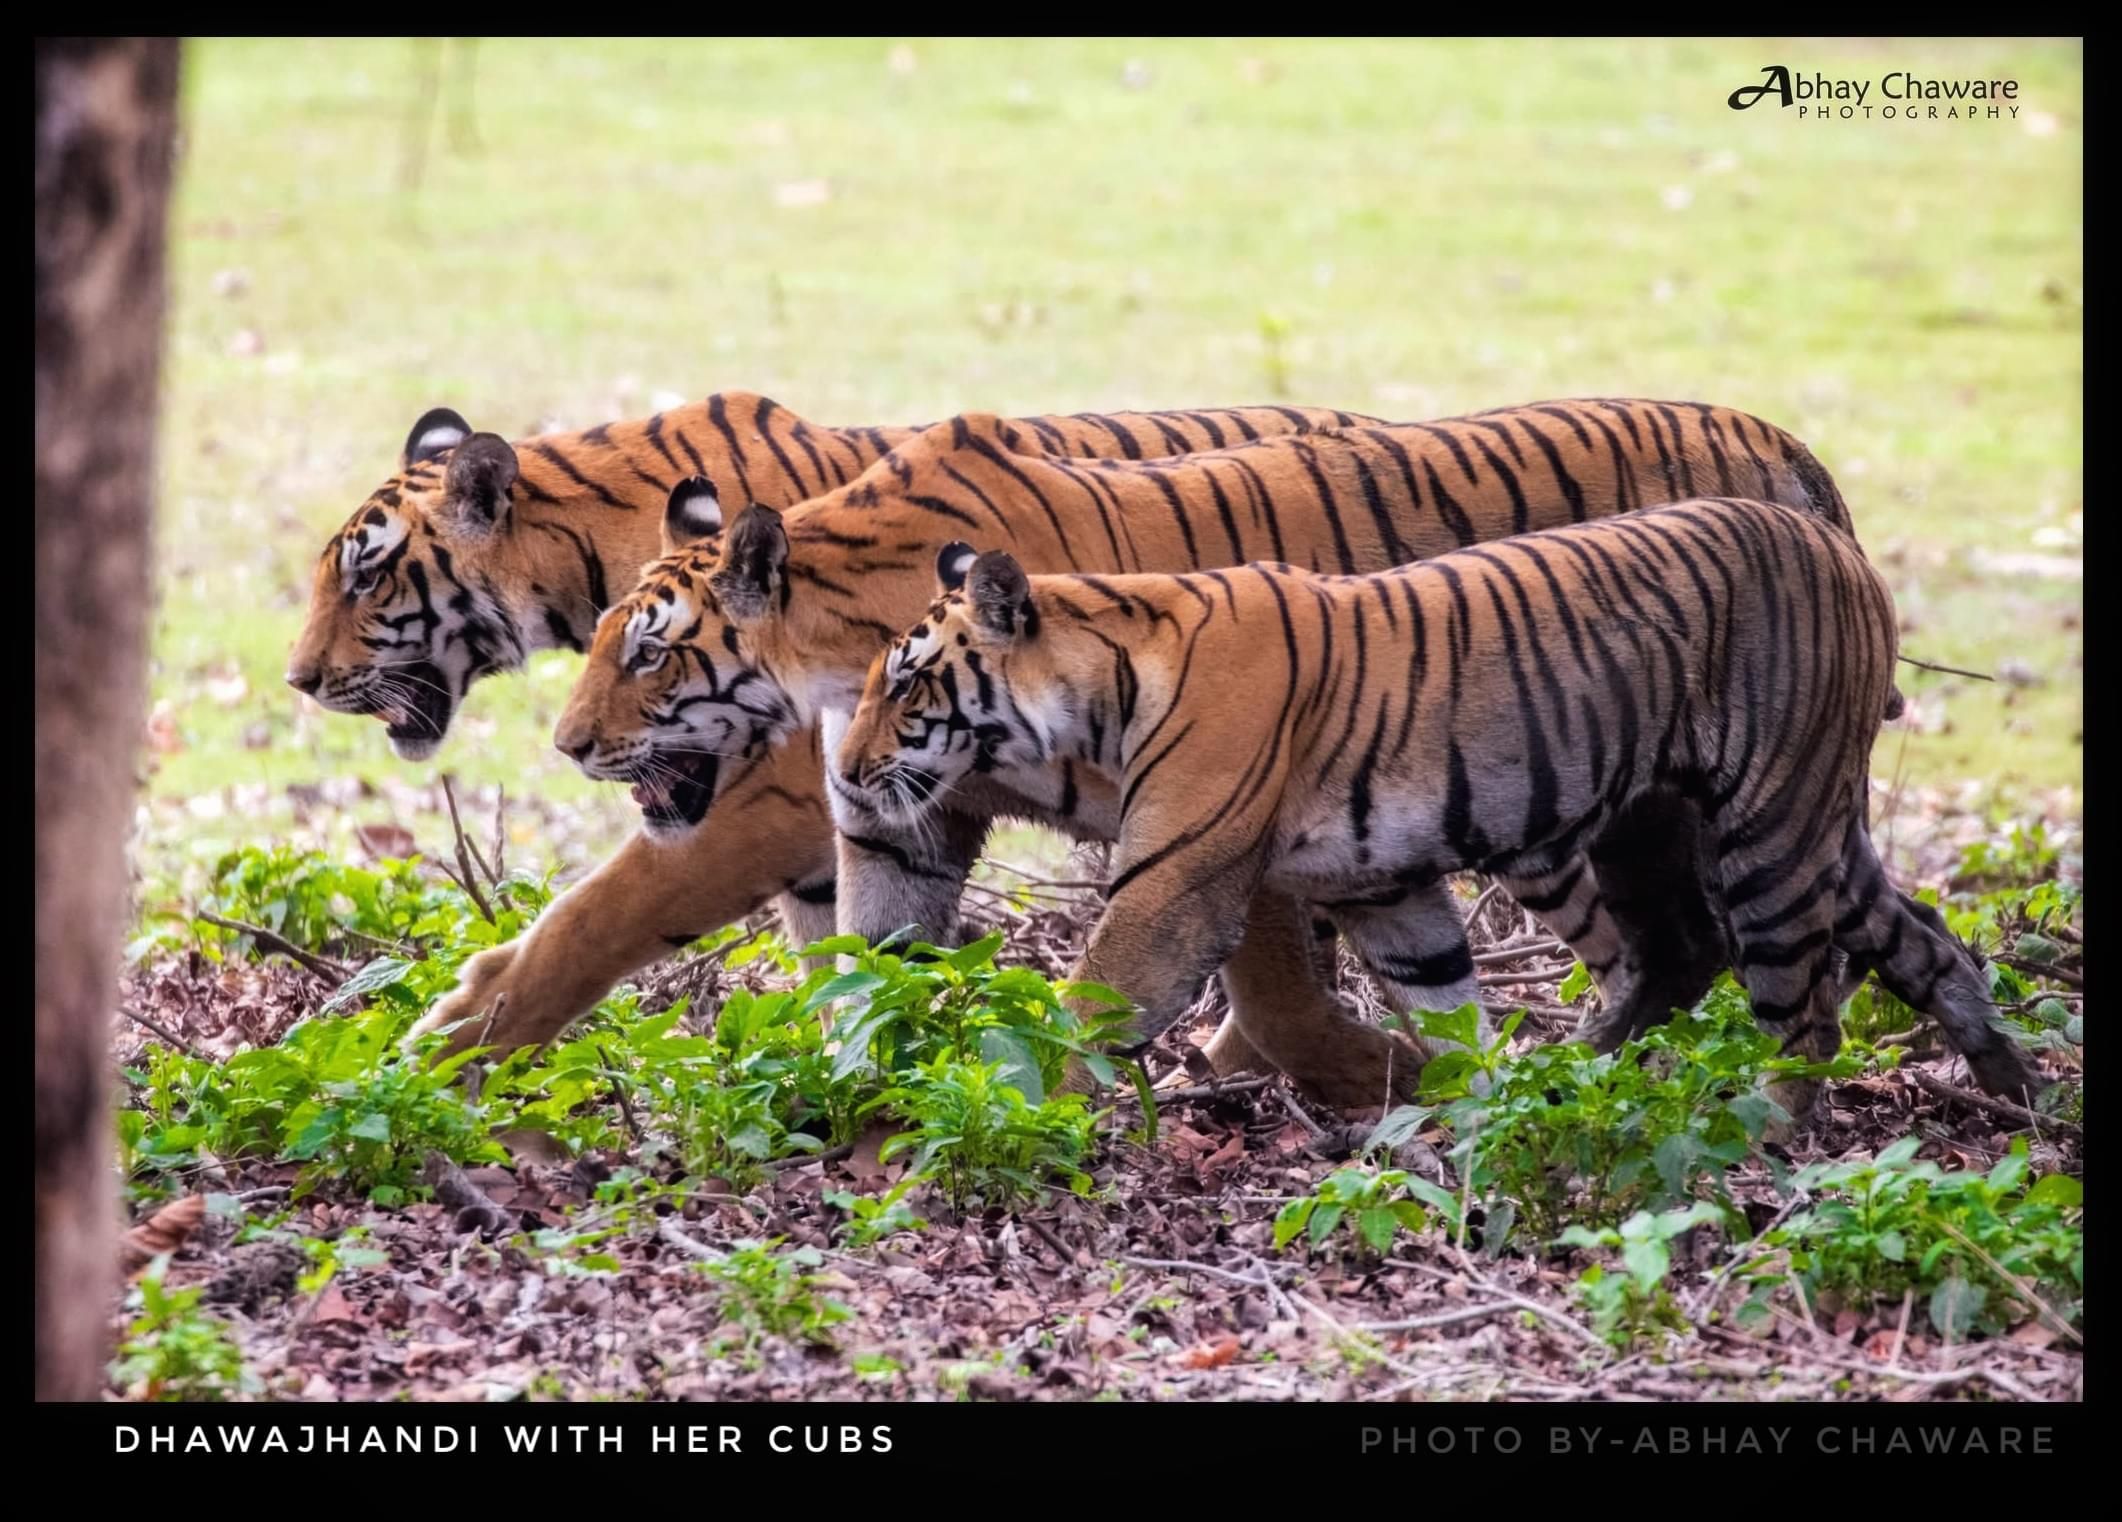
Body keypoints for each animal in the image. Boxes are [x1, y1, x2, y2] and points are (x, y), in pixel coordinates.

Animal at [284, 393, 1394, 1072]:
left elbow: (593, 918)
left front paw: (448, 1043)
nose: (299, 678)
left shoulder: (765, 800)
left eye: (367, 575)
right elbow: (841, 955)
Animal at [554, 400, 1883, 1103]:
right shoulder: (898, 818)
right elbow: (869, 969)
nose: (566, 745)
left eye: (650, 652)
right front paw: (855, 1088)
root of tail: (1784, 448)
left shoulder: (1215, 808)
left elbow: (1257, 978)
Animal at [833, 500, 2043, 1129]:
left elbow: (1087, 1006)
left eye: (909, 685)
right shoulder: (1382, 885)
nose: (843, 771)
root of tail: (1842, 546)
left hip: (1766, 829)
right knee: (1876, 937)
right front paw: (1476, 1103)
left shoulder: (1173, 884)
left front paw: (1010, 1104)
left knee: (1801, 1009)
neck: (1100, 690)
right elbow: (1444, 1003)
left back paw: (1770, 1131)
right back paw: (2009, 1084)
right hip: (1694, 821)